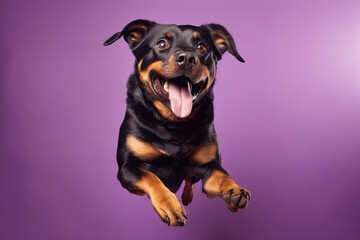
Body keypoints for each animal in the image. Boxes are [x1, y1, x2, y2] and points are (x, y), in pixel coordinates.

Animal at [103, 19, 250, 226]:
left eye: (201, 47)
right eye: (161, 44)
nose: (187, 58)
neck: (173, 123)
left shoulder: (208, 165)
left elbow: (222, 174)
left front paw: (234, 190)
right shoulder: (127, 167)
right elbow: (150, 177)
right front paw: (169, 204)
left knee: (190, 179)